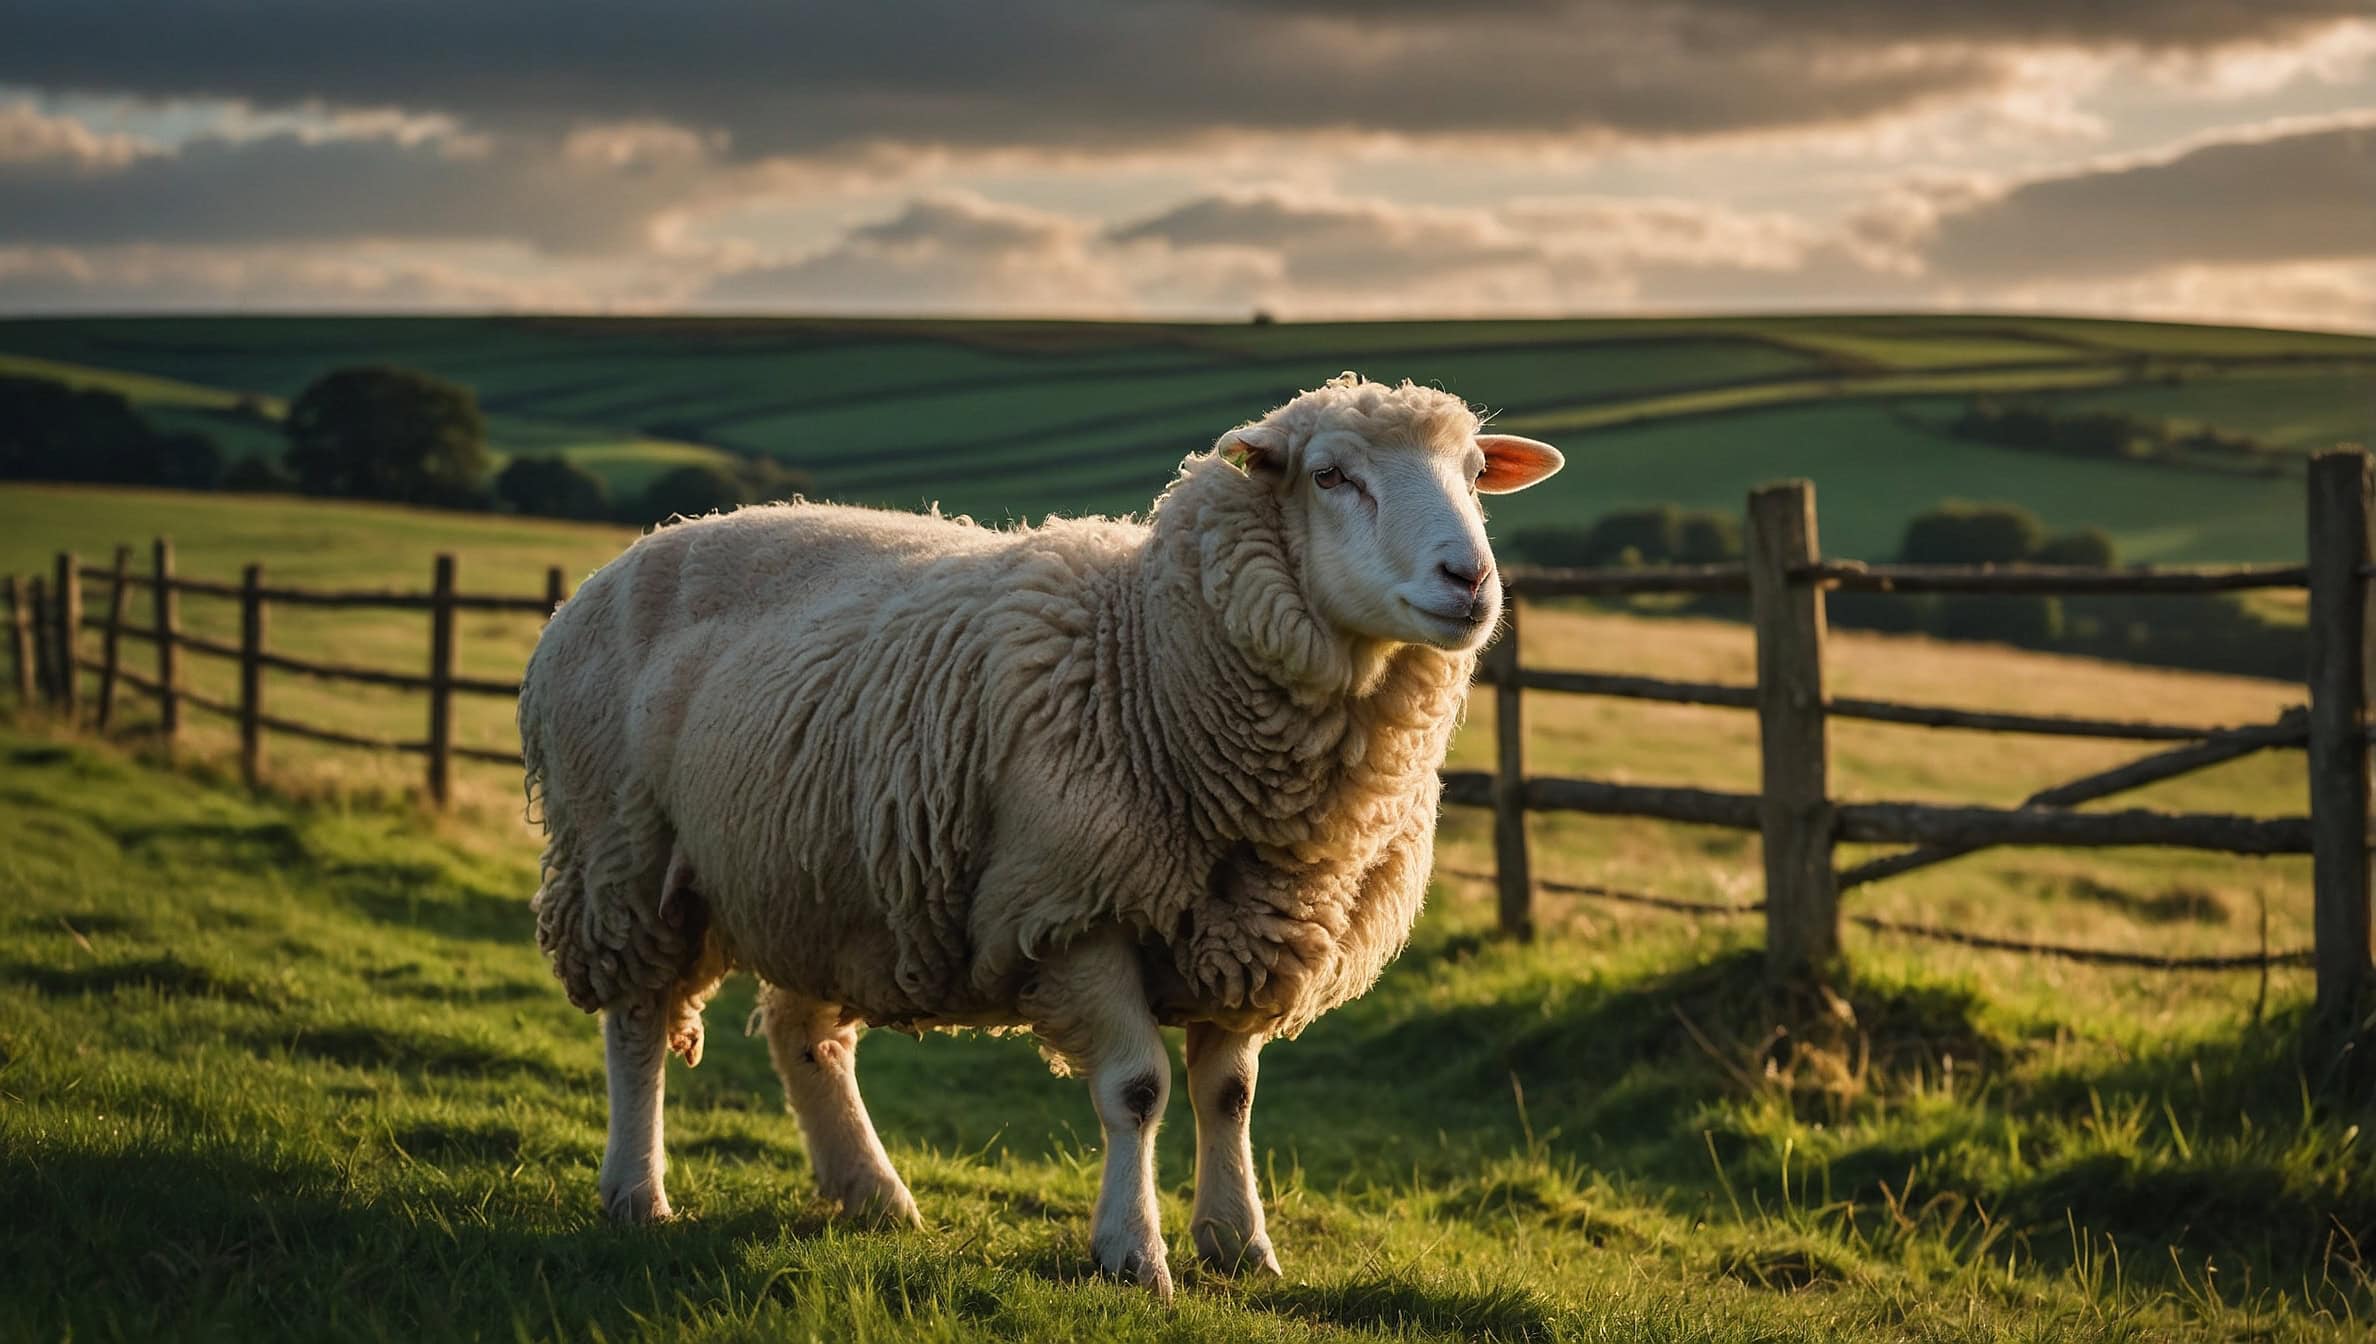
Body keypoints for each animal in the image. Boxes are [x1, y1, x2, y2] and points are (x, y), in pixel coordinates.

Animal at [519, 372, 1564, 1296]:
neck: (1148, 655)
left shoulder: (1248, 929)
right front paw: (1133, 1254)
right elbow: (1138, 1090)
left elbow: (1228, 1097)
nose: (1470, 580)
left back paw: (872, 1193)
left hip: (823, 878)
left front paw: (1240, 1247)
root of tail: (628, 558)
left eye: (1476, 472)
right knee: (638, 1024)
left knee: (802, 1034)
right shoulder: (1072, 911)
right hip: (622, 855)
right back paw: (637, 1193)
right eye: (1331, 476)